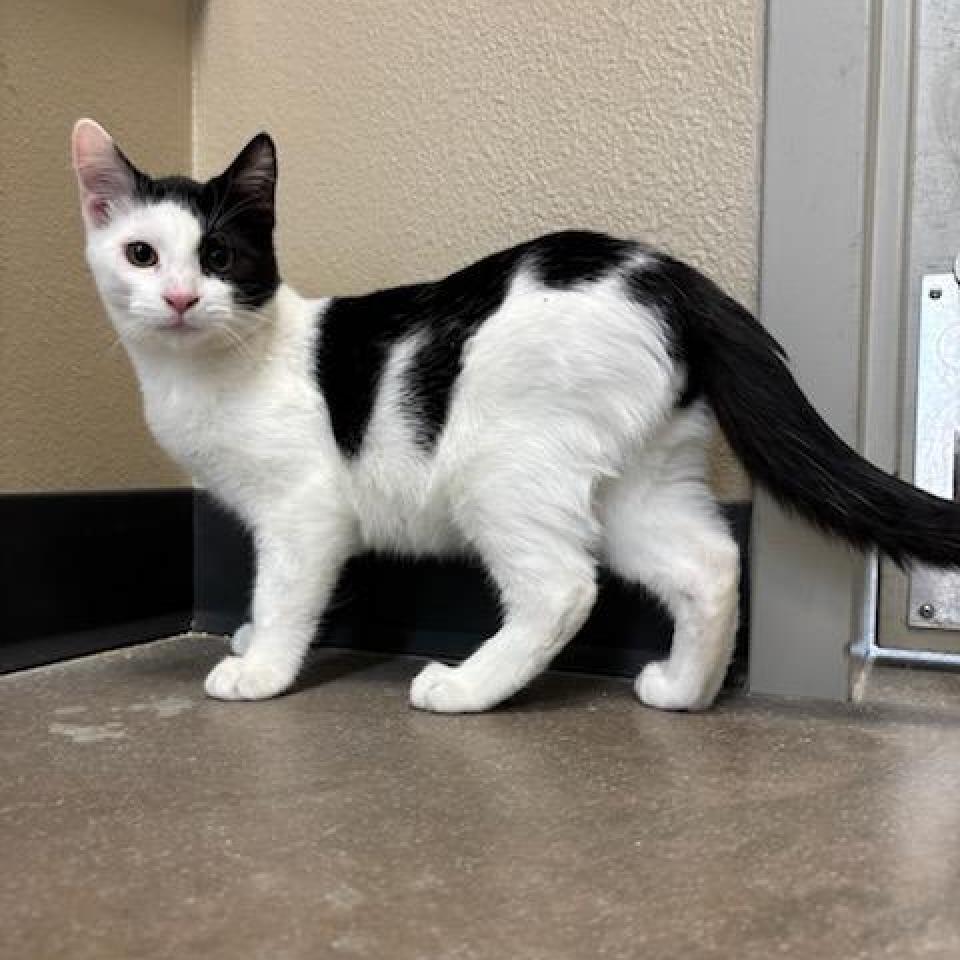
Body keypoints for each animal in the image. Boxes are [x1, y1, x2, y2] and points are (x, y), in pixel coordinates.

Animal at [71, 120, 960, 712]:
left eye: (219, 257)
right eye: (142, 255)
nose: (179, 299)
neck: (216, 368)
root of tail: (666, 272)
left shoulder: (301, 511)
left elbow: (285, 592)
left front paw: (261, 668)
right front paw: (252, 640)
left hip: (498, 470)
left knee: (564, 588)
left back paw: (466, 688)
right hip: (637, 480)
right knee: (710, 562)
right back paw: (682, 690)